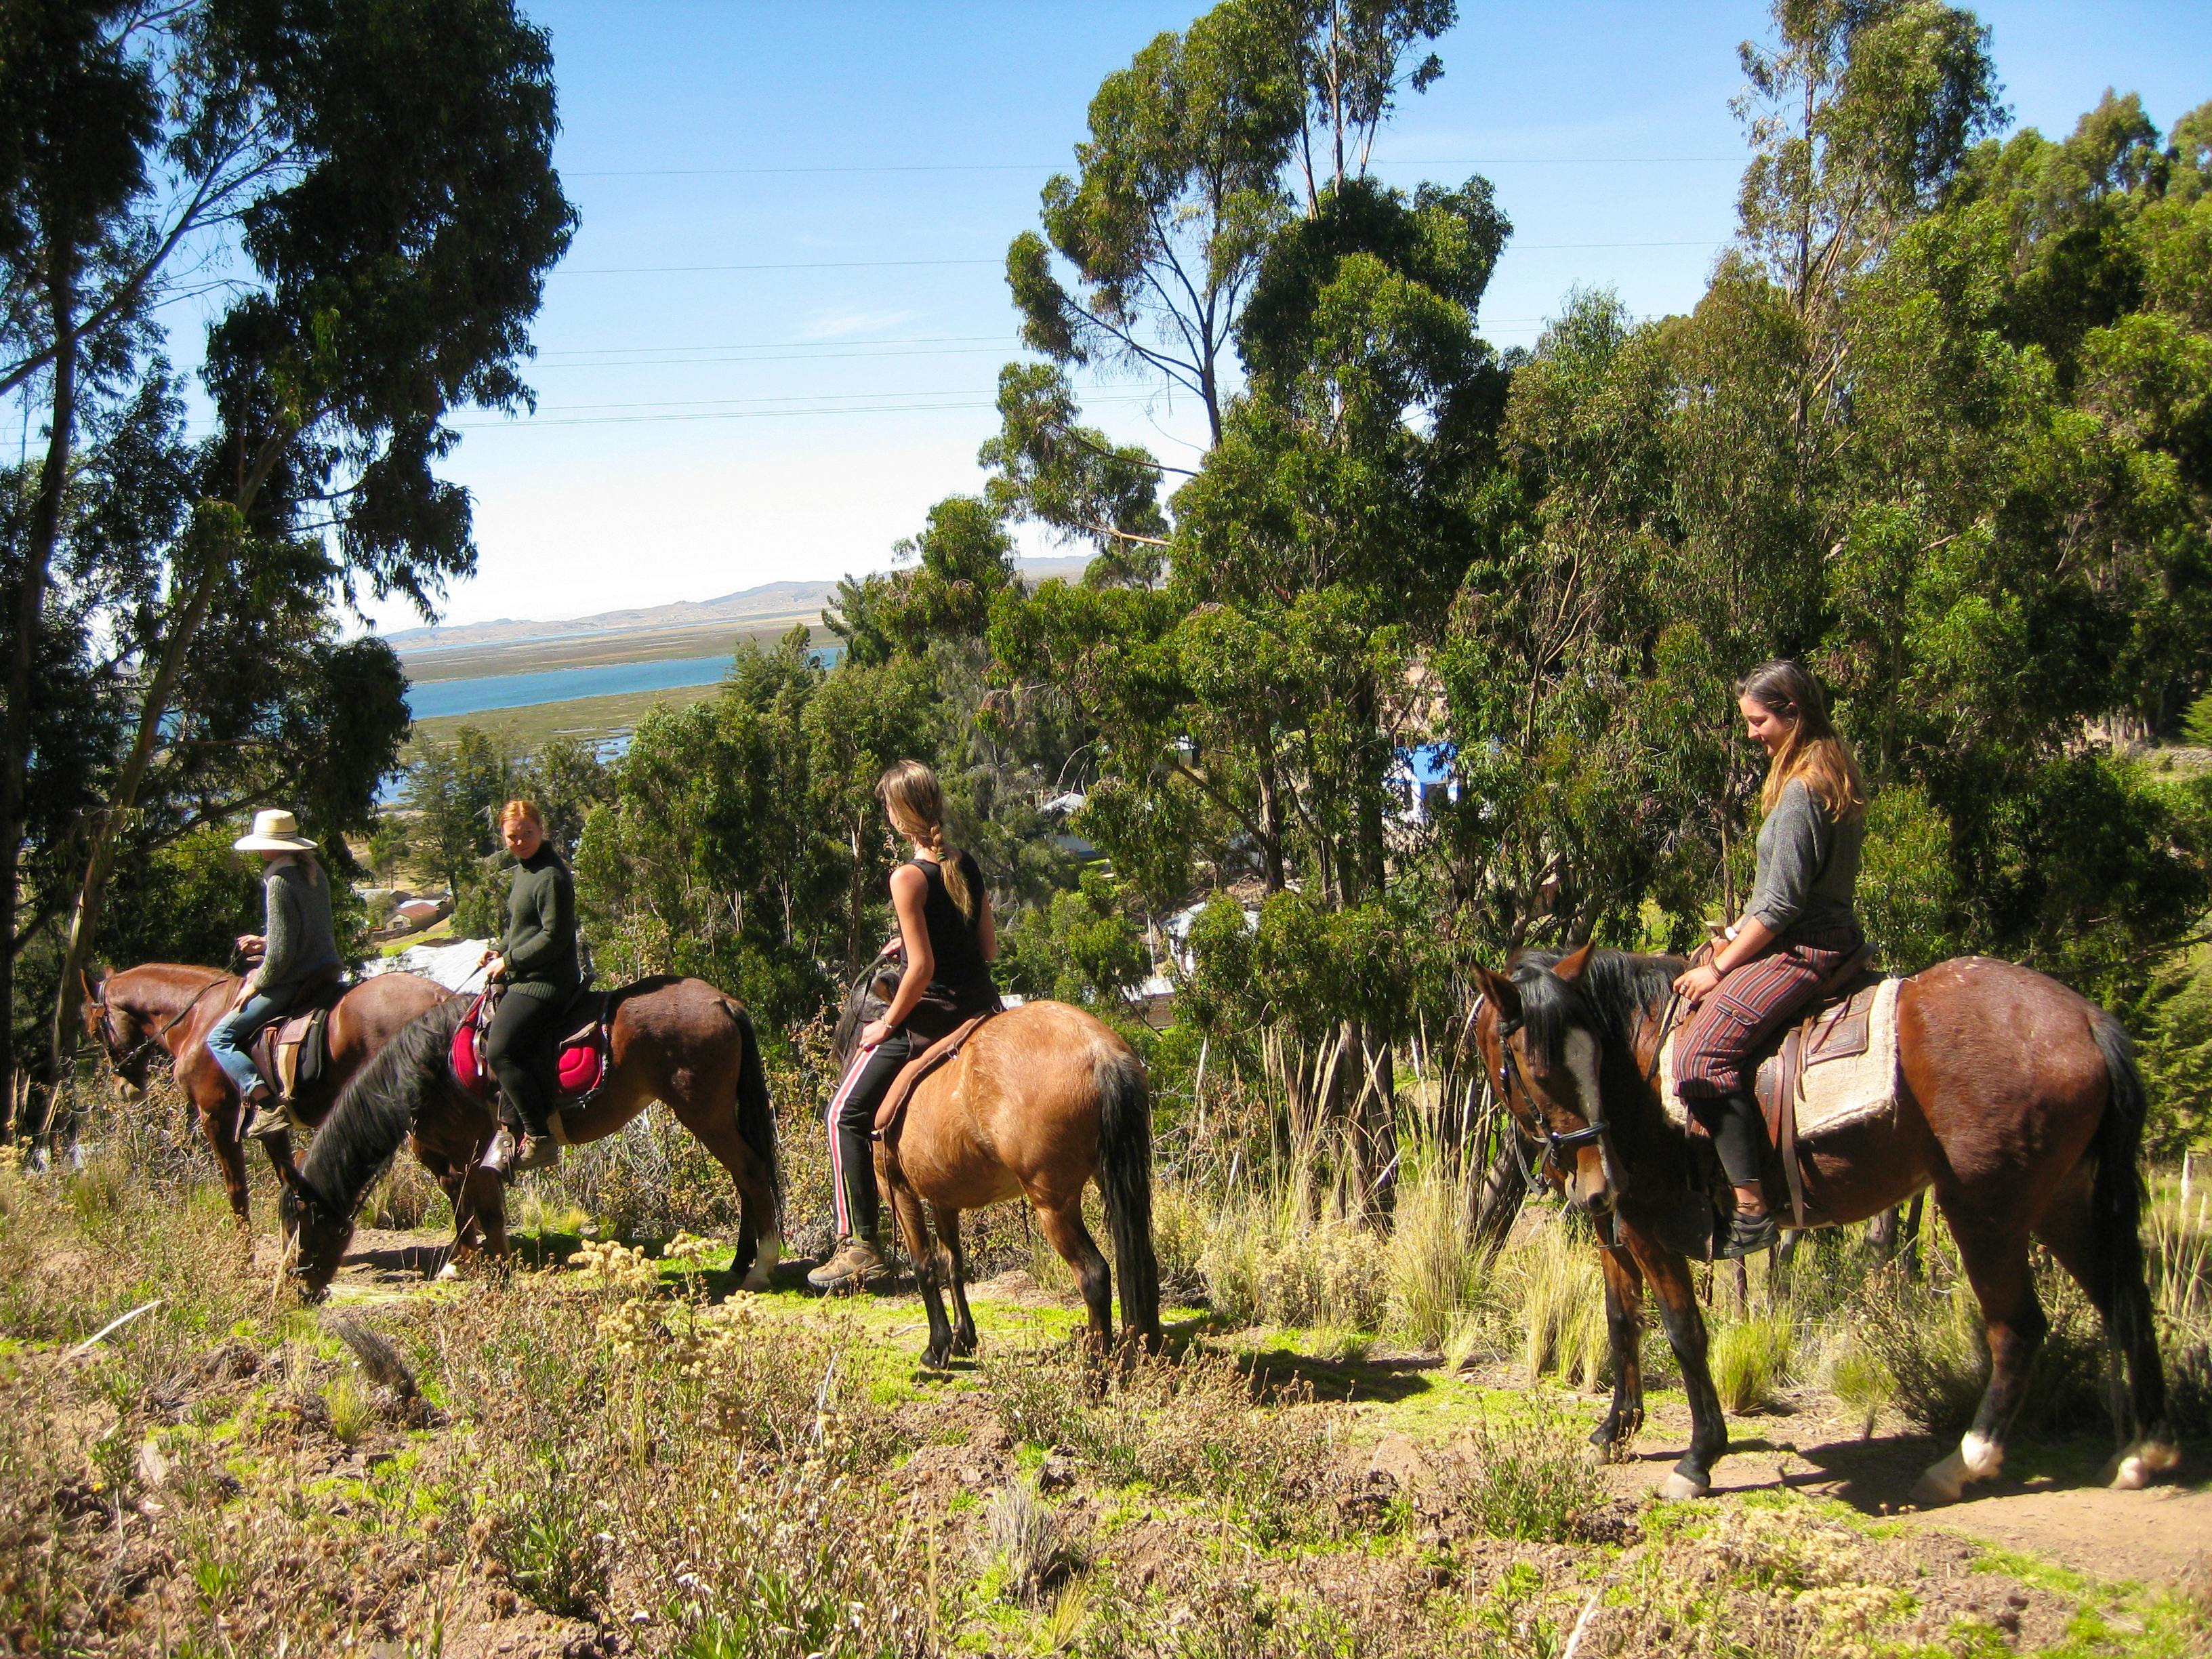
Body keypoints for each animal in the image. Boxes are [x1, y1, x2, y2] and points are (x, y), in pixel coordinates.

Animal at [82, 962, 450, 1225]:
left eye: (95, 1029)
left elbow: (237, 1192)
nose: (124, 1088)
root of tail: (439, 997)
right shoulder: (272, 1129)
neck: (198, 1021)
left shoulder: (216, 1119)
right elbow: (290, 1179)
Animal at [278, 978, 783, 1297]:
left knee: (751, 1173)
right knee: (744, 1178)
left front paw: (497, 1276)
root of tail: (722, 1003)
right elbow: (465, 1207)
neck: (431, 1068)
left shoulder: (472, 1153)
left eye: (305, 1222)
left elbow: (485, 1212)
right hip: (718, 1116)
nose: (297, 1288)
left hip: (705, 1114)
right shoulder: (456, 1157)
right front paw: (462, 1265)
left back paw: (760, 1269)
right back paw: (740, 1263)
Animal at [830, 953, 1160, 1369]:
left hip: (1052, 1202)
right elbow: (951, 1262)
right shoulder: (943, 1198)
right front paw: (963, 1338)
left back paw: (1093, 1368)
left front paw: (937, 1348)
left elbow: (924, 1265)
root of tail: (1098, 1050)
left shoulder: (898, 1189)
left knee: (1093, 1274)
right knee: (1142, 1261)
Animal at [1466, 943, 2177, 1508]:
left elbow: (1683, 1332)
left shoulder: (1647, 1223)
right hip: (2063, 1201)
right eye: (1540, 1068)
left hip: (1985, 1210)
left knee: (2018, 1328)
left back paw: (1963, 1463)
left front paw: (1699, 1458)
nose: (1597, 1181)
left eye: (1580, 1065)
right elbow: (1622, 1322)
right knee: (2126, 1303)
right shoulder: (1616, 1225)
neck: (1641, 1071)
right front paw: (1614, 1432)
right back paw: (2144, 1453)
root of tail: (2085, 1019)